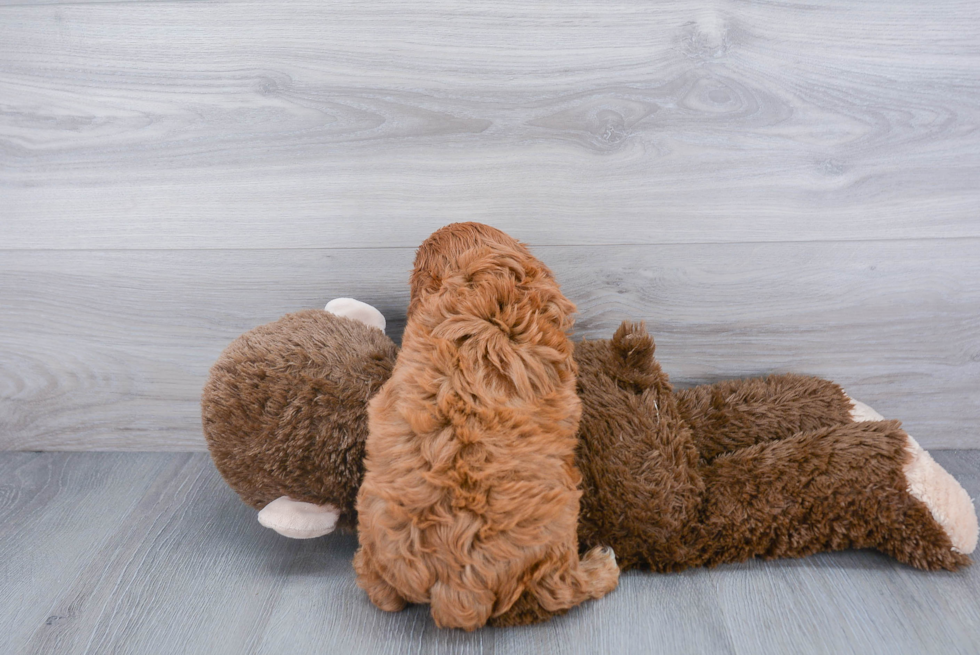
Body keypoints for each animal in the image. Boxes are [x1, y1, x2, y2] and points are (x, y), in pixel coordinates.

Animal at [354, 224, 620, 632]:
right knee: (560, 588)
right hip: (559, 521)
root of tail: (454, 588)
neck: (478, 290)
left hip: (370, 524)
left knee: (377, 587)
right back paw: (602, 567)